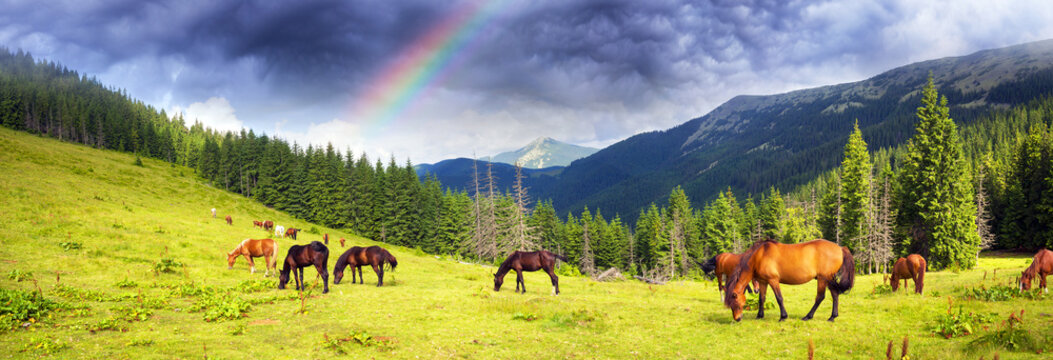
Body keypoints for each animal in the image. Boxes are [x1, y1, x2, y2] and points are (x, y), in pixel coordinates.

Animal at [724, 240, 855, 322]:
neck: (759, 256)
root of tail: (840, 248)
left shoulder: (773, 280)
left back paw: (808, 316)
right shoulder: (763, 282)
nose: (737, 319)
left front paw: (783, 317)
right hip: (828, 279)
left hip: (823, 278)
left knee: (820, 297)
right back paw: (832, 317)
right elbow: (762, 299)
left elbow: (779, 298)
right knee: (835, 294)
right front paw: (759, 316)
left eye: (735, 303)